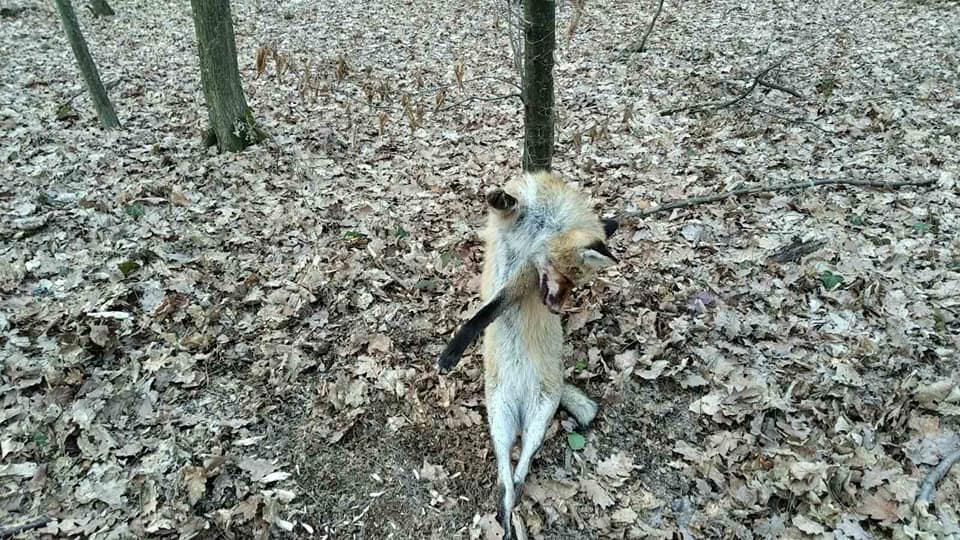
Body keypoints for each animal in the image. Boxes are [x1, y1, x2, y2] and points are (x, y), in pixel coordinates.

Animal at [438, 171, 620, 536]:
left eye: (577, 284)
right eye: (567, 277)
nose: (556, 310)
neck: (538, 231)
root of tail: (522, 408)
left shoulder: (524, 277)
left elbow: (487, 312)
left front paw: (452, 351)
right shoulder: (518, 254)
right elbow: (507, 206)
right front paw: (501, 198)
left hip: (536, 421)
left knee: (517, 477)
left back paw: (512, 521)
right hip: (500, 421)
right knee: (506, 480)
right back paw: (508, 519)